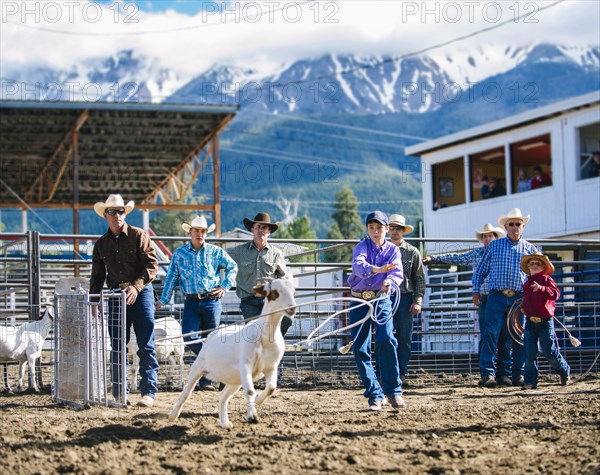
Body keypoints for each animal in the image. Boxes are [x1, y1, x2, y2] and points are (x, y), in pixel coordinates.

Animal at [168, 278, 296, 432]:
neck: (265, 335)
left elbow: (271, 388)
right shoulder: (246, 364)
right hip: (198, 367)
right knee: (186, 393)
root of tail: (216, 331)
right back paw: (172, 416)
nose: (292, 308)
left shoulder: (271, 367)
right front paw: (252, 417)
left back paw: (225, 423)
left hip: (235, 380)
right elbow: (250, 391)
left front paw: (257, 401)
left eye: (293, 291)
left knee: (223, 397)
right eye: (275, 292)